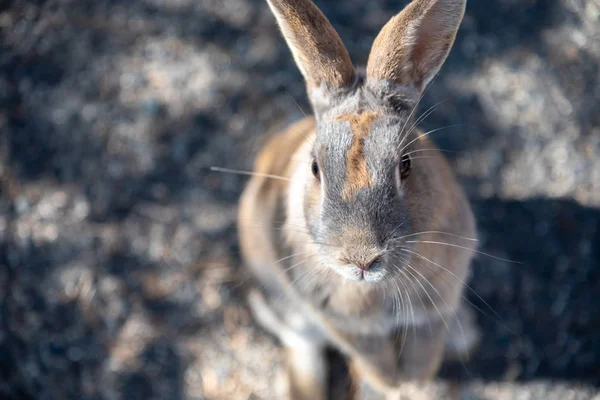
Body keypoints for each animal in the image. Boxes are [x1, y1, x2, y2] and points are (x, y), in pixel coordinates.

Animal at [237, 0, 480, 398]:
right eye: (315, 167)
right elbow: (374, 362)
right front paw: (395, 384)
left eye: (406, 165)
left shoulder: (433, 310)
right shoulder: (344, 325)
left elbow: (424, 352)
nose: (362, 259)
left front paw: (413, 382)